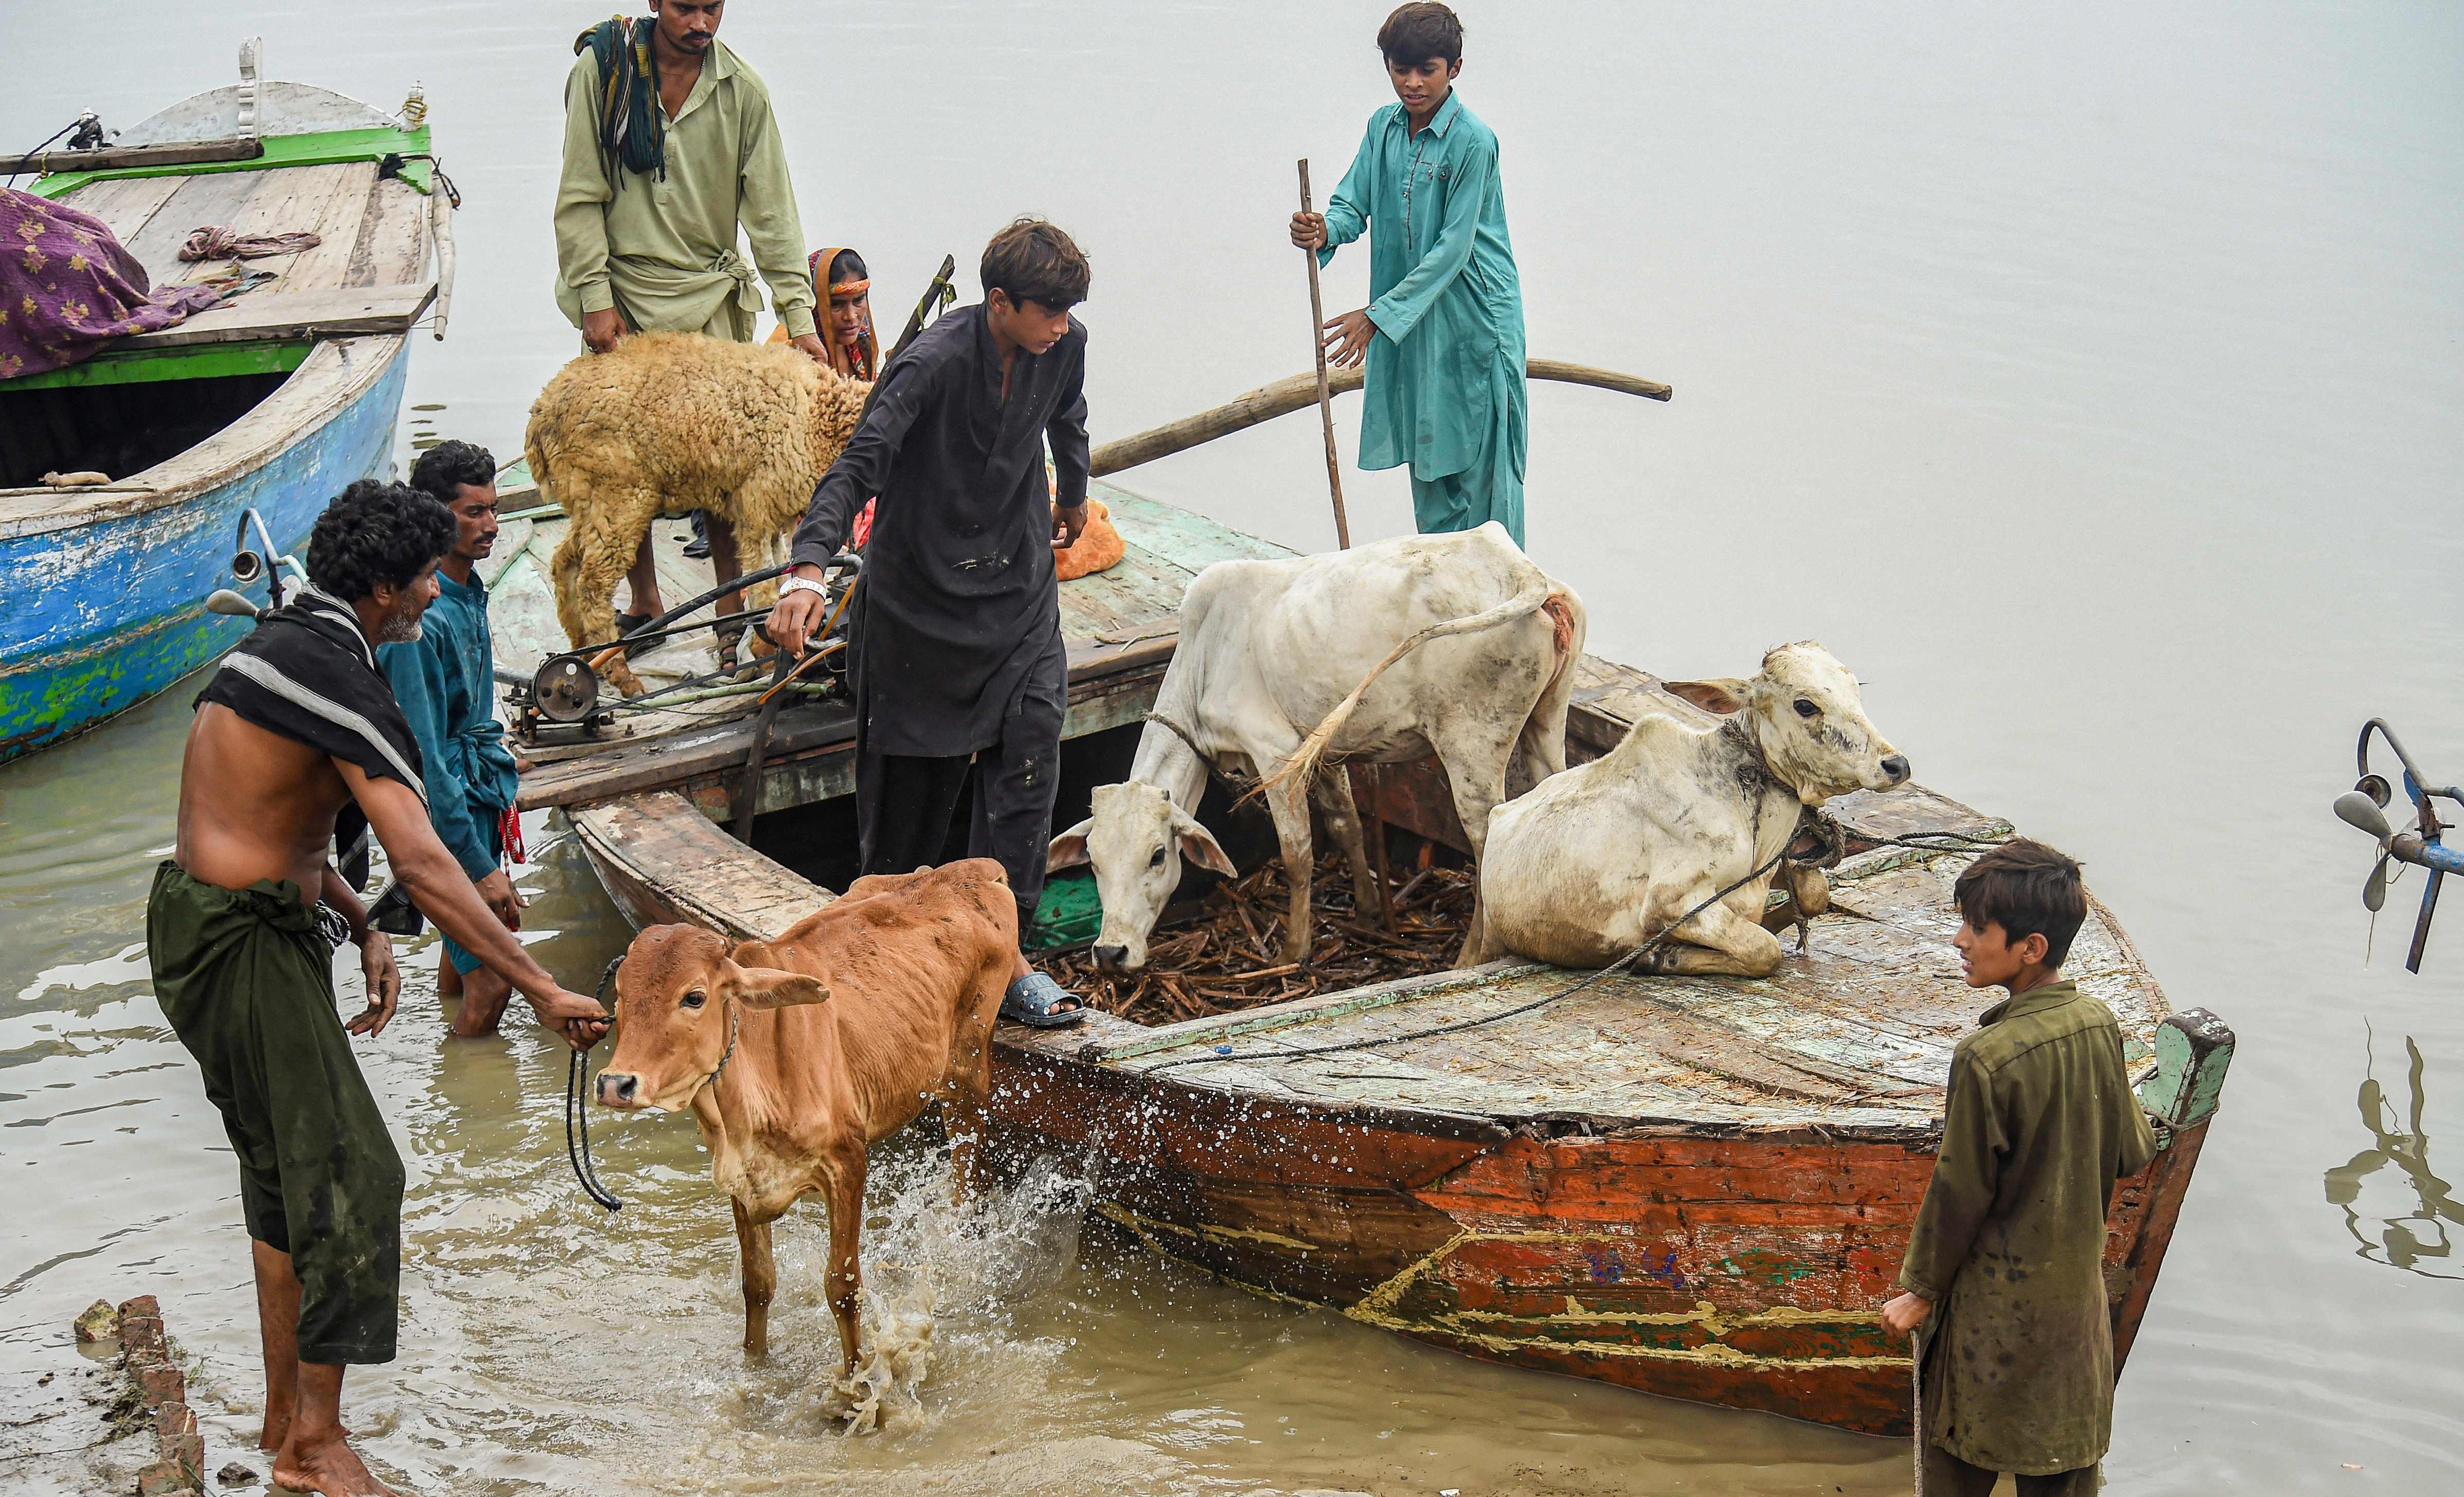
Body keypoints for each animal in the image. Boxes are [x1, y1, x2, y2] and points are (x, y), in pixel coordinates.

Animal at [525, 332, 872, 694]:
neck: (820, 420)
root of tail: (540, 417)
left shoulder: (774, 510)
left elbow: (779, 572)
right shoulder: (757, 505)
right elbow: (763, 582)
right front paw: (766, 650)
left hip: (586, 499)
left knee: (564, 563)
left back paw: (583, 651)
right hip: (618, 496)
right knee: (592, 586)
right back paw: (622, 676)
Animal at [596, 862, 1020, 1379]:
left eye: (694, 997)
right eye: (620, 996)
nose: (615, 1084)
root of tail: (974, 870)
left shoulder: (847, 1162)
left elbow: (843, 1286)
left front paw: (857, 1379)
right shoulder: (742, 1180)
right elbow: (757, 1284)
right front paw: (756, 1366)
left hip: (965, 1077)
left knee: (967, 1178)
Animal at [1049, 527, 1586, 970]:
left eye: (1158, 856)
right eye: (1092, 860)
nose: (1111, 952)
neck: (1203, 659)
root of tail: (1520, 570)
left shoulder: (1276, 753)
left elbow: (1298, 854)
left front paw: (1293, 951)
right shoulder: (1326, 753)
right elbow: (1346, 826)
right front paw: (1368, 913)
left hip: (1470, 744)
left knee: (1487, 838)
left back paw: (1474, 956)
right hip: (1546, 719)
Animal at [1468, 645, 1912, 985]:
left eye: (1856, 692)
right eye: (1805, 705)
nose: (1896, 765)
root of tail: (1501, 814)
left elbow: (1814, 894)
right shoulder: (1671, 902)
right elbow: (1764, 948)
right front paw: (1659, 956)